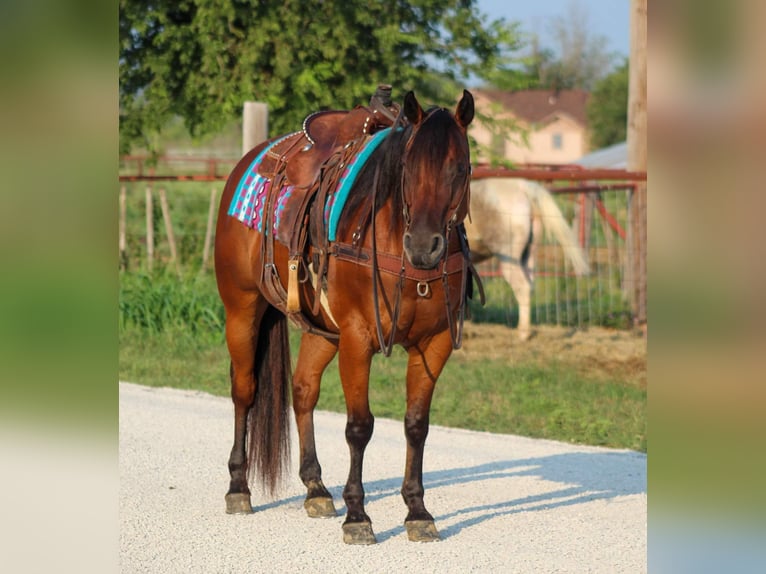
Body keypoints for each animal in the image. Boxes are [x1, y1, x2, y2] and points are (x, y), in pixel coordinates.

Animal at [214, 89, 477, 545]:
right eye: (408, 167)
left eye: (459, 167)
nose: (424, 245)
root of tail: (250, 159)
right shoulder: (358, 338)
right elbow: (359, 426)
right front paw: (358, 515)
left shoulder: (435, 343)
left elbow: (416, 425)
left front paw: (418, 511)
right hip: (242, 310)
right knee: (244, 392)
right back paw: (238, 487)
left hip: (323, 330)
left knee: (303, 390)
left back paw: (316, 488)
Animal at [464, 177, 590, 341]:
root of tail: (522, 187)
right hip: (528, 255)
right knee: (529, 286)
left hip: (509, 258)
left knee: (522, 287)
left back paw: (523, 333)